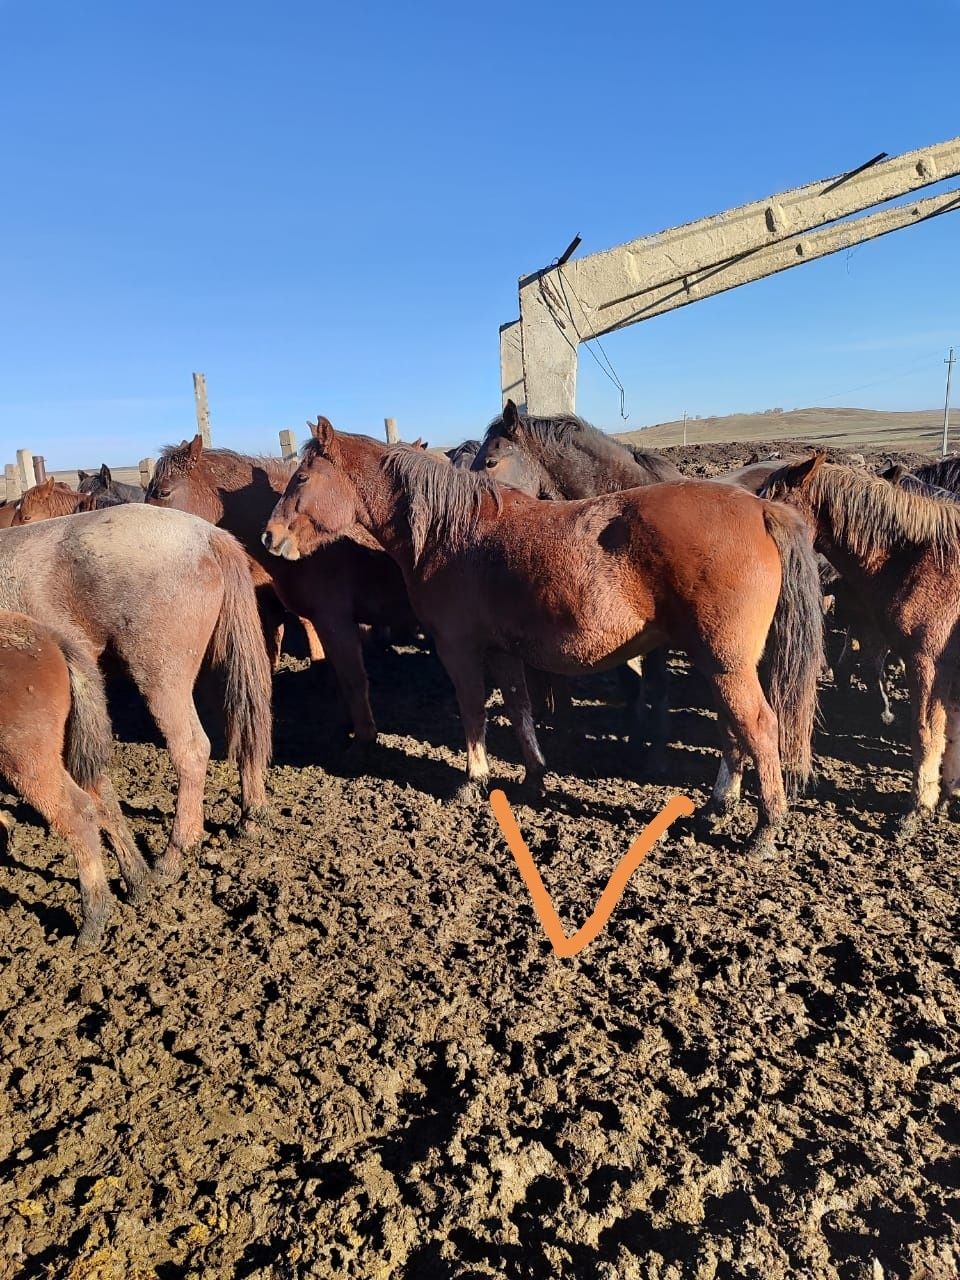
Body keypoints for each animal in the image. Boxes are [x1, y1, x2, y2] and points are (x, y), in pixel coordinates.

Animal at [0, 504, 272, 875]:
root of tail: (207, 535)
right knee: (246, 727)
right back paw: (250, 818)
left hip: (161, 679)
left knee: (192, 750)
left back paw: (175, 853)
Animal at [0, 609, 152, 952]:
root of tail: (50, 638)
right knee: (103, 796)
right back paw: (137, 883)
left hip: (27, 761)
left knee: (77, 815)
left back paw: (92, 925)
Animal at [267, 424, 824, 855]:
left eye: (302, 477)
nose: (271, 538)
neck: (452, 531)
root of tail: (759, 510)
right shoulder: (501, 651)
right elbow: (519, 708)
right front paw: (534, 776)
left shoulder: (459, 648)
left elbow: (473, 710)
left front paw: (472, 780)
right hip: (719, 661)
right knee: (734, 730)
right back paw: (718, 805)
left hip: (724, 662)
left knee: (758, 726)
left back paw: (765, 829)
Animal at [768, 453, 960, 829]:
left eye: (773, 503)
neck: (921, 558)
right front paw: (947, 795)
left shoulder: (927, 663)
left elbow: (926, 733)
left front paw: (918, 807)